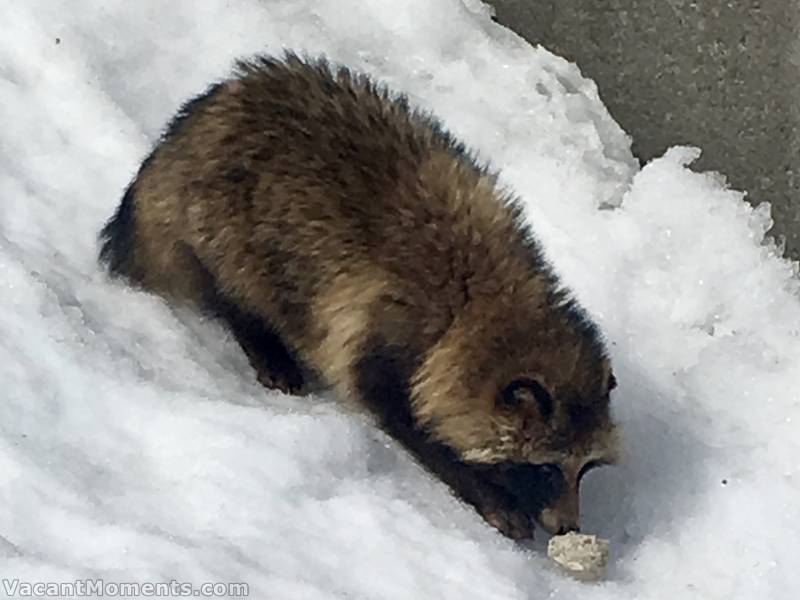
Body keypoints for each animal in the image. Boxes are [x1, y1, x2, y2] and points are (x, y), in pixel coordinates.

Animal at [100, 52, 620, 540]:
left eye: (584, 469)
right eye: (546, 469)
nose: (569, 527)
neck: (477, 305)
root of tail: (180, 139)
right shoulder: (385, 325)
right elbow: (399, 414)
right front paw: (484, 491)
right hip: (226, 220)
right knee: (232, 283)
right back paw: (259, 335)